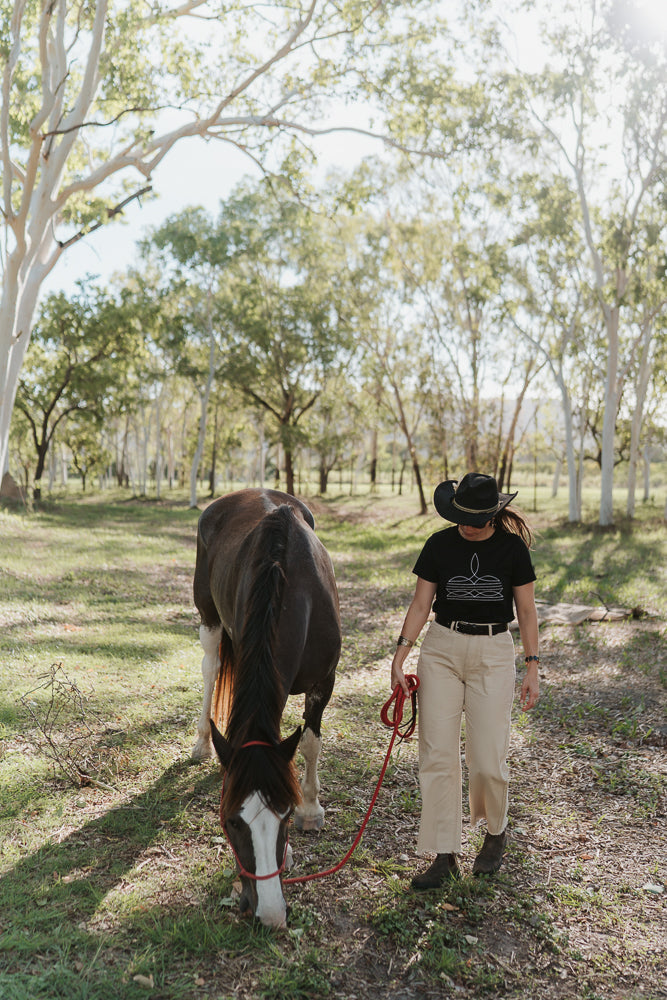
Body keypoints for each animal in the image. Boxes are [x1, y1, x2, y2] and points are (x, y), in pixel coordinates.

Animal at [192, 488, 341, 927]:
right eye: (230, 821)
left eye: (285, 815)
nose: (270, 912)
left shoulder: (325, 681)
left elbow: (309, 742)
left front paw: (312, 809)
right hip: (209, 618)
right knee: (210, 668)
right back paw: (202, 742)